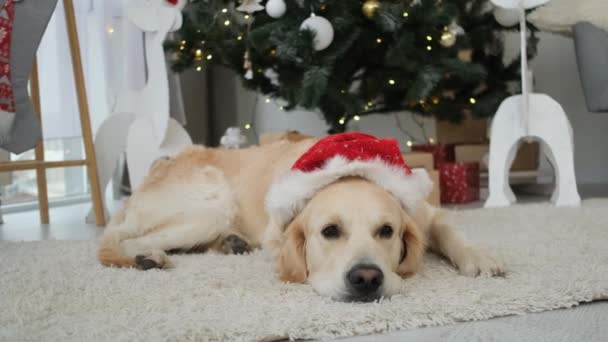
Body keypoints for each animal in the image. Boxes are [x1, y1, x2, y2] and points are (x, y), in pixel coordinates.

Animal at [98, 134, 504, 302]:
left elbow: (450, 229)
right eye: (330, 231)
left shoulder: (425, 211)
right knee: (120, 242)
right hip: (211, 205)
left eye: (386, 231)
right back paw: (147, 256)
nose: (366, 278)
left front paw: (479, 256)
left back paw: (232, 242)